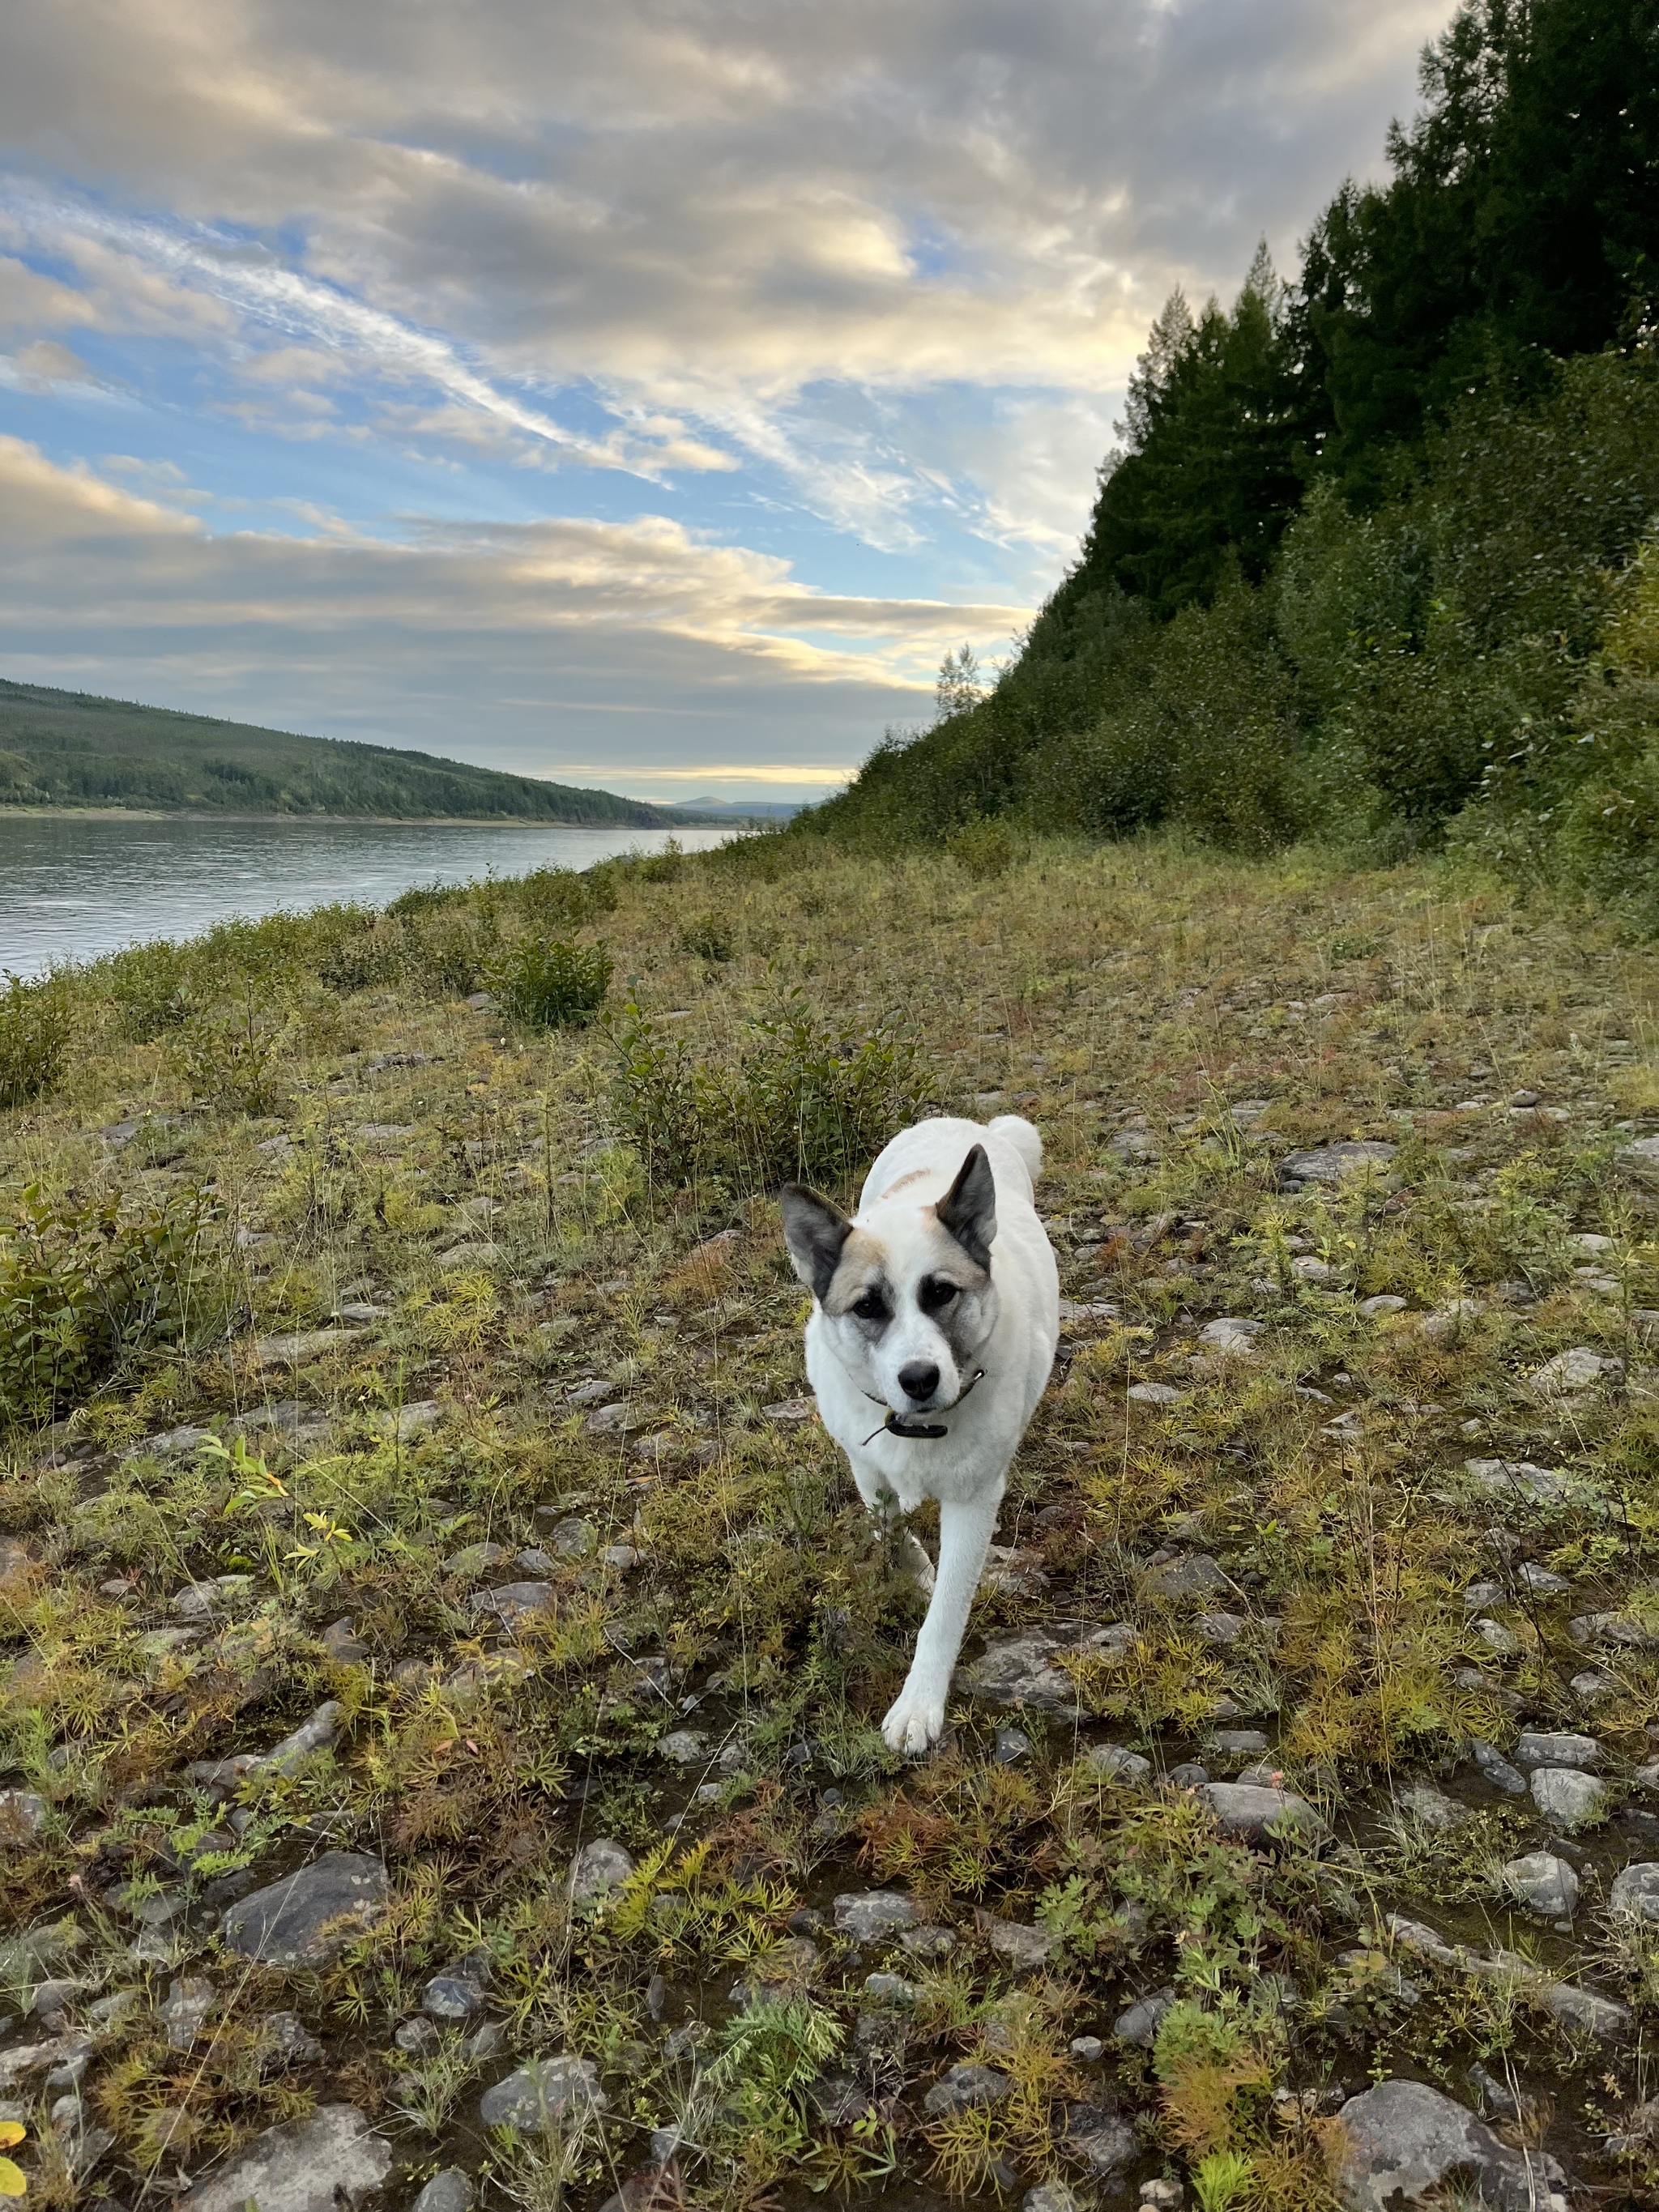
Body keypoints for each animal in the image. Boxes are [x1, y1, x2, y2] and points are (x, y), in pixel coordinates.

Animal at [783, 1115, 1066, 1751]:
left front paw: (919, 1703)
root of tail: (967, 1124)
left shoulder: (974, 1501)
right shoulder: (865, 1463)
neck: (918, 1428)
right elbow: (887, 1527)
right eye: (867, 1307)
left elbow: (944, 1614)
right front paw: (913, 1569)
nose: (918, 1379)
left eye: (940, 1293)